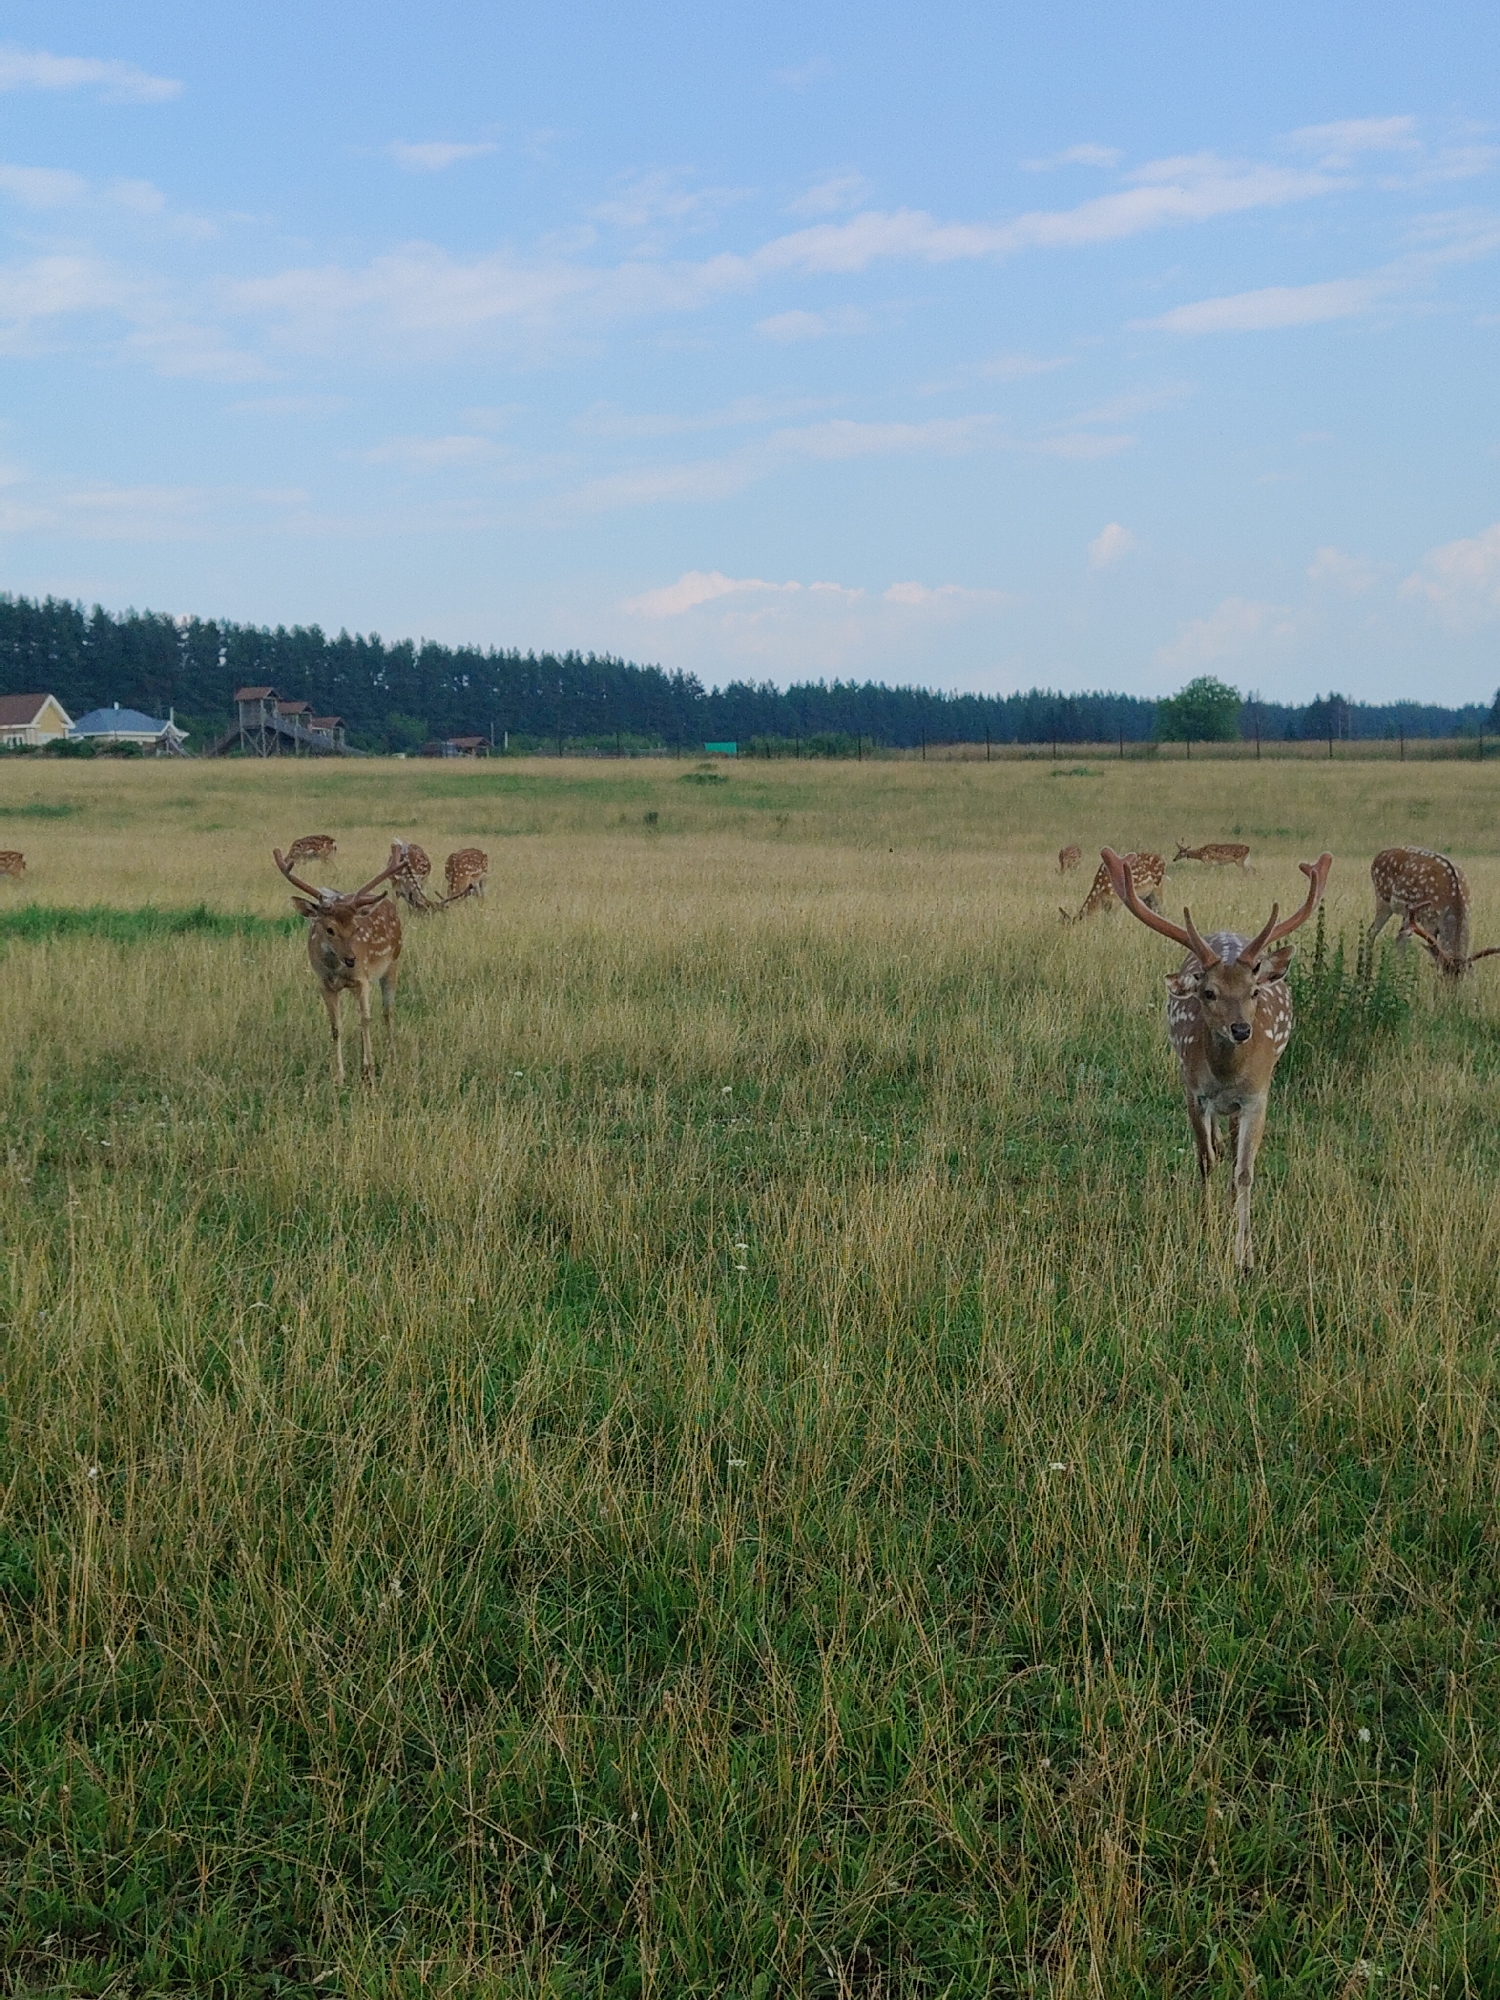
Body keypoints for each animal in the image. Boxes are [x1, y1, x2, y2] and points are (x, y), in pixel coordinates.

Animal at [273, 844, 404, 1086]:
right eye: (329, 929)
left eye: (356, 928)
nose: (351, 959)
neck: (336, 969)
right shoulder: (324, 984)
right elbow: (336, 1027)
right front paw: (339, 1076)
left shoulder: (362, 979)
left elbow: (365, 1020)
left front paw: (369, 1073)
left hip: (393, 963)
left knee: (387, 1012)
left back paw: (392, 1059)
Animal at [1103, 845, 1332, 1270]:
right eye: (1208, 992)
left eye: (1254, 991)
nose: (1241, 1029)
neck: (1227, 1076)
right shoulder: (1193, 1091)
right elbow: (1205, 1158)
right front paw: (1205, 1230)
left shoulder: (1258, 1095)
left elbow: (1244, 1172)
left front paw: (1245, 1254)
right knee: (1217, 1148)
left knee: (1232, 1151)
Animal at [1367, 847, 1499, 978]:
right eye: (1442, 976)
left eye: (1461, 978)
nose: (1450, 987)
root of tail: (1378, 856)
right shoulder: (1428, 920)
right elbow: (1435, 955)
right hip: (1383, 899)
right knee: (1372, 932)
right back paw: (1368, 975)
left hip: (1406, 914)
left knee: (1399, 938)